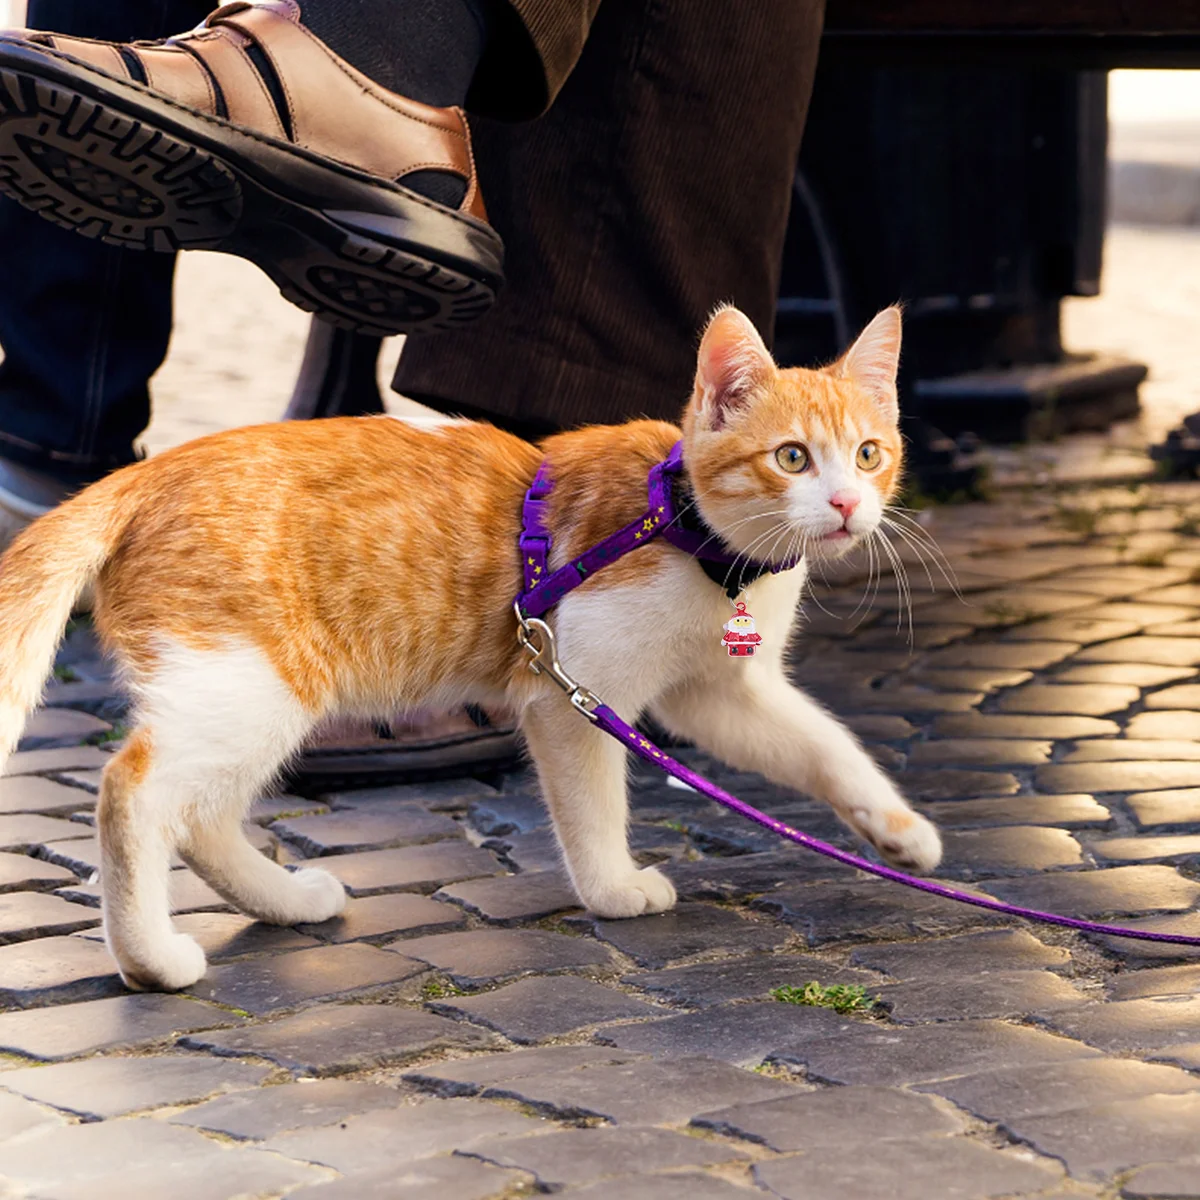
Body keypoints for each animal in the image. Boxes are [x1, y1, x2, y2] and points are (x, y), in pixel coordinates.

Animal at [0, 304, 936, 988]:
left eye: (869, 454)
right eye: (791, 458)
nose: (848, 505)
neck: (697, 538)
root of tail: (144, 471)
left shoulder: (718, 694)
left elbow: (823, 745)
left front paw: (900, 832)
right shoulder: (572, 688)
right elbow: (594, 804)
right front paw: (612, 887)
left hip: (253, 691)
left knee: (201, 815)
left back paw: (285, 901)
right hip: (249, 680)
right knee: (133, 792)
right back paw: (151, 959)